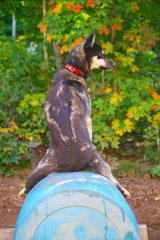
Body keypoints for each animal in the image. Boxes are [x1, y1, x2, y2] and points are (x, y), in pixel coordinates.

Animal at [20, 33, 130, 199]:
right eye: (101, 54)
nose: (114, 63)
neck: (73, 71)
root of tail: (66, 165)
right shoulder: (88, 118)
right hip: (101, 161)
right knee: (113, 182)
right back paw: (124, 191)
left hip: (43, 163)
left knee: (31, 181)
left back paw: (23, 190)